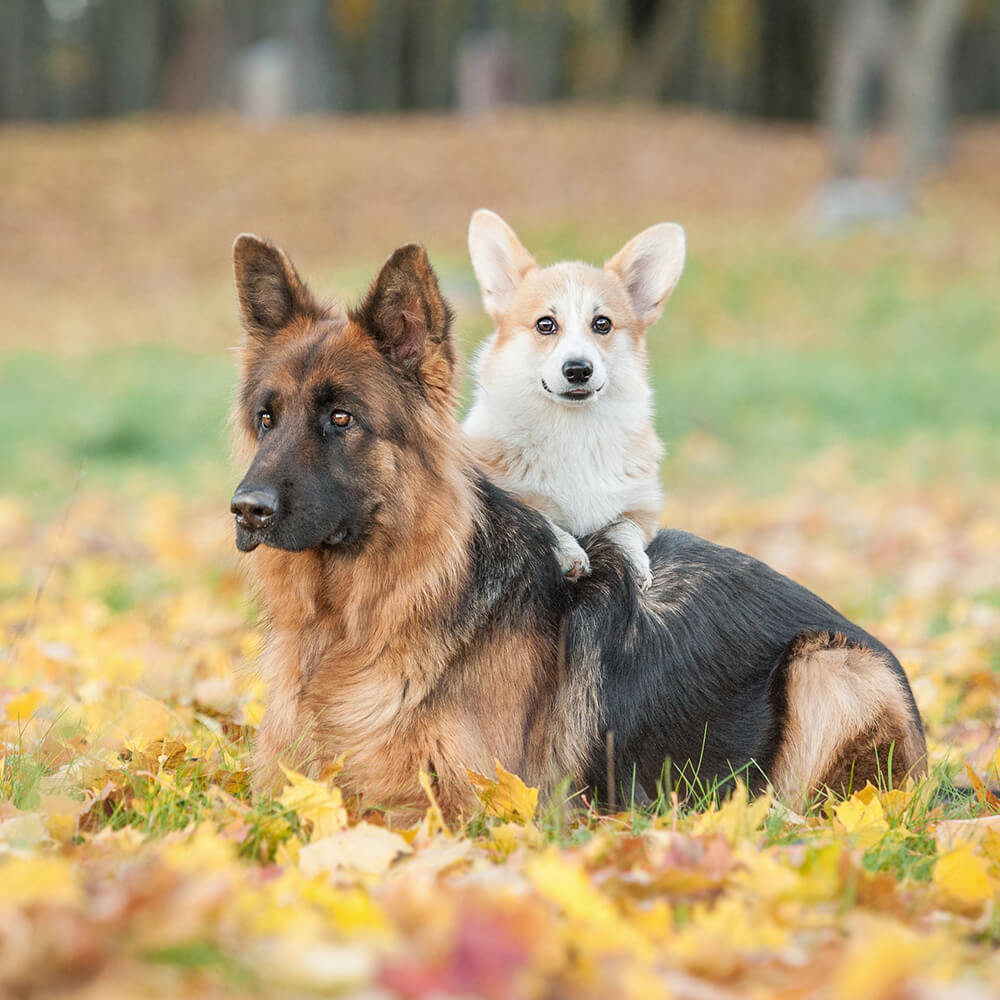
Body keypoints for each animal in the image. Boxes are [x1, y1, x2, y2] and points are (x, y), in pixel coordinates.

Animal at [462, 209, 684, 584]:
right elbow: (543, 518)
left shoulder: (641, 507)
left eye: (602, 323)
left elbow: (624, 528)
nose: (578, 370)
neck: (574, 429)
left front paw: (635, 563)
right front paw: (569, 553)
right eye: (545, 324)